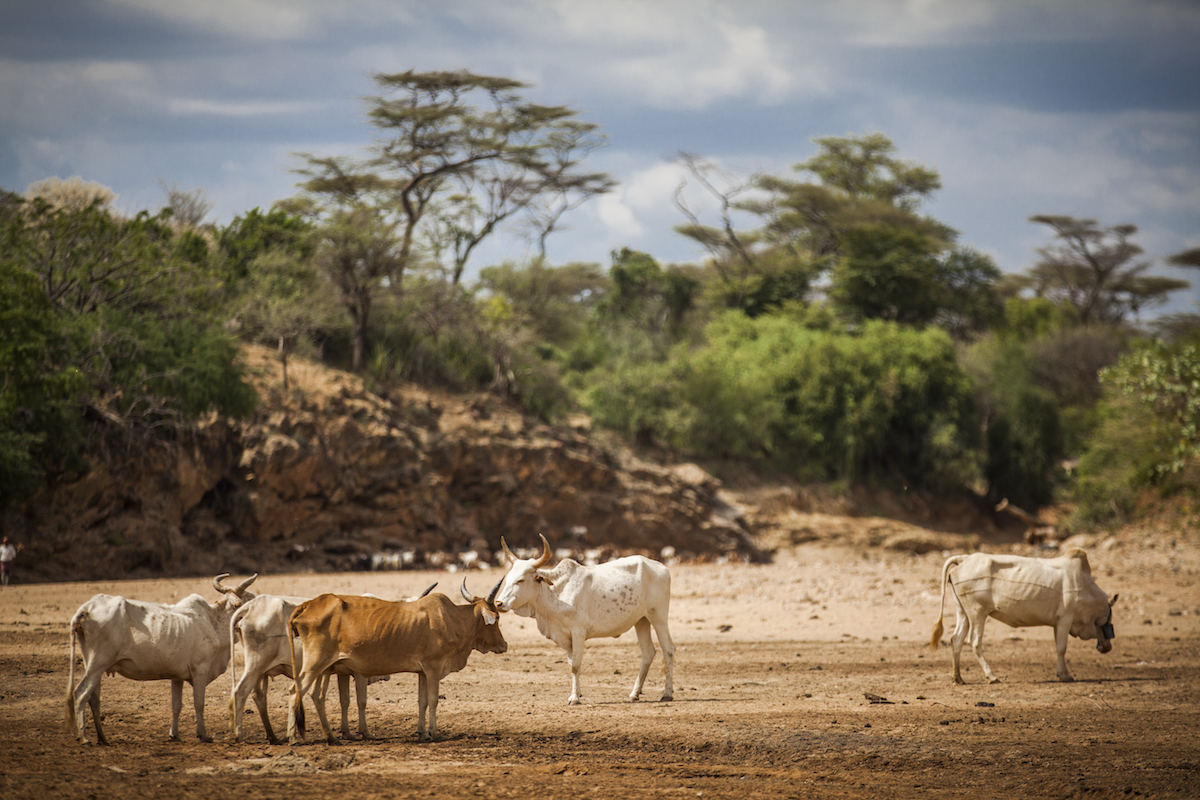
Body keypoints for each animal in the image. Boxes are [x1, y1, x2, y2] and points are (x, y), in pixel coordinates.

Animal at [225, 582, 436, 743]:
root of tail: (249, 607)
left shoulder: (343, 672)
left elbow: (345, 701)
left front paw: (347, 732)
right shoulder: (360, 673)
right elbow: (361, 701)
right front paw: (364, 732)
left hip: (262, 672)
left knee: (259, 697)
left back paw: (272, 737)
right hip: (256, 665)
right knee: (240, 692)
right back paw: (239, 734)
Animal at [288, 578, 504, 743]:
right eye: (497, 617)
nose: (504, 645)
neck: (451, 619)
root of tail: (309, 604)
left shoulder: (422, 672)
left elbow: (422, 701)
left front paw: (422, 733)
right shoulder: (434, 668)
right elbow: (433, 700)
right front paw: (434, 733)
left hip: (323, 667)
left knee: (315, 695)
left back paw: (330, 737)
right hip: (315, 664)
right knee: (295, 691)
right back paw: (293, 738)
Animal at [489, 534, 676, 705]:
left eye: (520, 580)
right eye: (508, 579)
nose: (499, 603)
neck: (556, 593)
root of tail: (662, 567)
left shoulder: (578, 632)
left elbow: (575, 665)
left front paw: (574, 698)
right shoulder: (567, 639)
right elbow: (571, 664)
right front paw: (577, 694)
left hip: (658, 617)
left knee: (668, 649)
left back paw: (667, 693)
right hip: (641, 620)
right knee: (648, 653)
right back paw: (634, 694)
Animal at [926, 554, 1113, 686]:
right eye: (1107, 621)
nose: (1107, 647)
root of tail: (965, 558)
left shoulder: (1057, 623)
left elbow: (1058, 647)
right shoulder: (1065, 619)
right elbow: (1061, 648)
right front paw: (1065, 675)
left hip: (963, 612)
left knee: (956, 639)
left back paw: (958, 678)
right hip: (977, 612)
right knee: (974, 642)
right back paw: (991, 676)